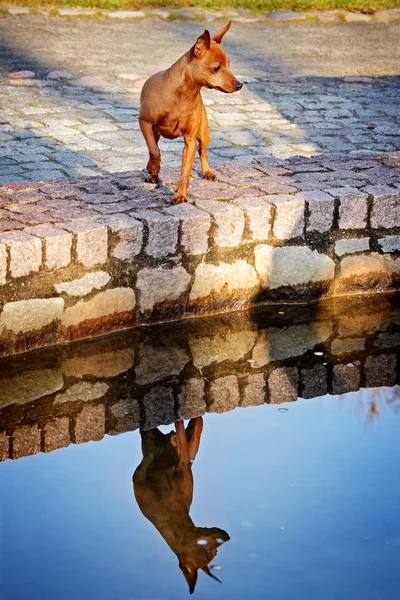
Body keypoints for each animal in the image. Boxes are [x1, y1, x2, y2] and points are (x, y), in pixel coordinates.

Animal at [139, 21, 242, 204]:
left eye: (229, 64)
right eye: (217, 68)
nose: (240, 85)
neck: (183, 95)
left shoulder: (190, 141)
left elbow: (185, 171)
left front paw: (180, 195)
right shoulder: (144, 122)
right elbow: (154, 151)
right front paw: (153, 168)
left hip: (204, 134)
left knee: (203, 151)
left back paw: (208, 171)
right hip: (154, 132)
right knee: (155, 146)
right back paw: (153, 172)